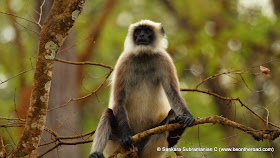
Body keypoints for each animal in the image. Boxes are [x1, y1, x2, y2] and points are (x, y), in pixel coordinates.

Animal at [89, 20, 195, 158]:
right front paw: (125, 135)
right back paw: (95, 154)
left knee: (172, 113)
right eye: (138, 31)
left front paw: (188, 117)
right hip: (115, 145)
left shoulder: (164, 59)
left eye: (147, 31)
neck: (144, 55)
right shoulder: (124, 60)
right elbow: (118, 100)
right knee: (108, 113)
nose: (142, 36)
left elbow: (173, 94)